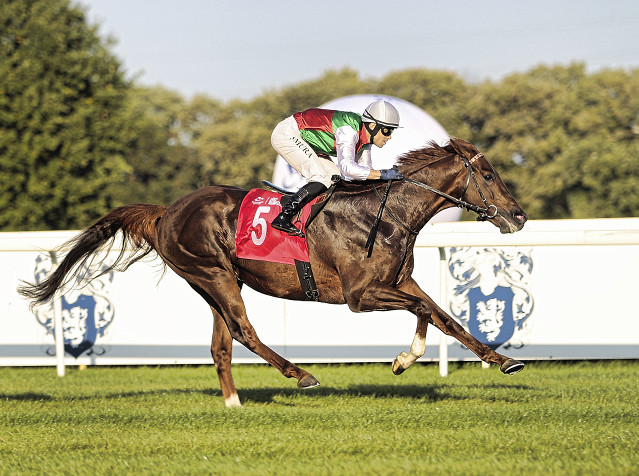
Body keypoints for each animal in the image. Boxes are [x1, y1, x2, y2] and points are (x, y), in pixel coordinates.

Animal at [20, 138, 528, 410]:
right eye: (487, 174)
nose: (519, 216)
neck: (387, 214)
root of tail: (167, 212)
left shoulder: (397, 282)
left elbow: (442, 315)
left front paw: (500, 360)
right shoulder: (361, 295)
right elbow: (425, 308)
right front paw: (407, 359)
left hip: (216, 281)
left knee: (221, 343)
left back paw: (233, 402)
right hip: (215, 274)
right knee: (244, 331)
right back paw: (300, 374)